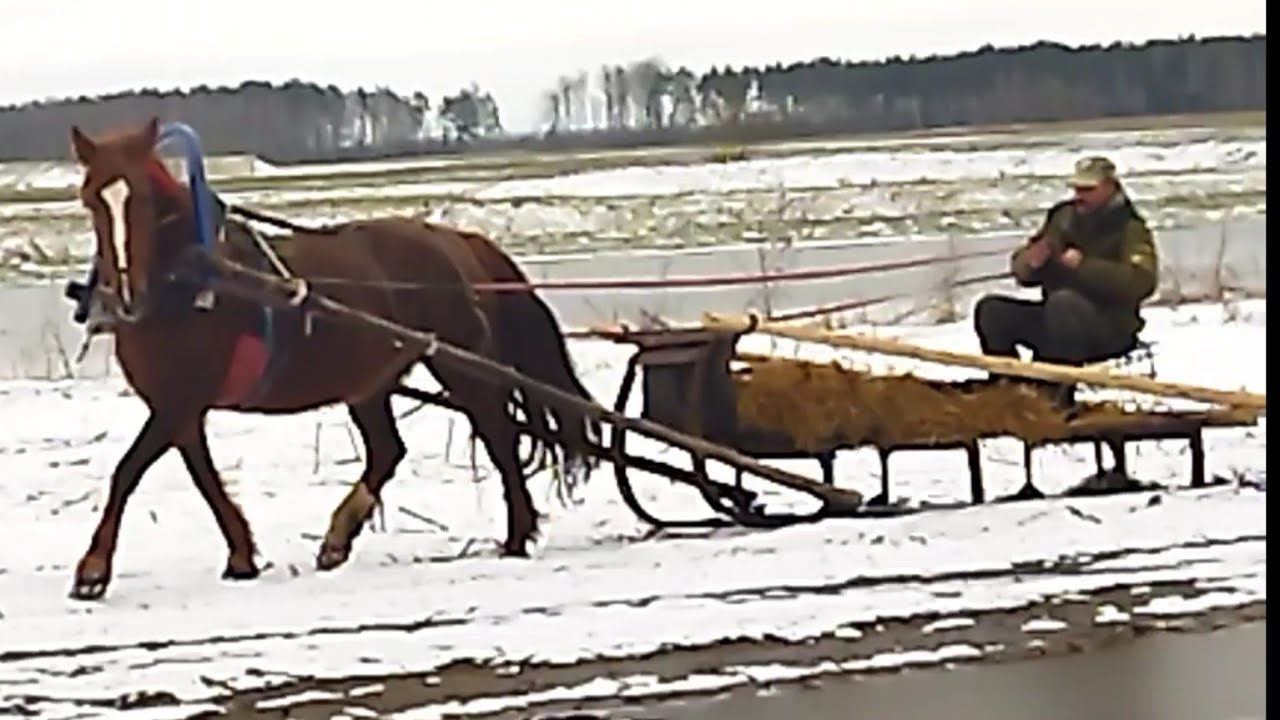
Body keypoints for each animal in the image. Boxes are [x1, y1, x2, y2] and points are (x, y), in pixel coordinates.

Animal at [64, 117, 600, 600]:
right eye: (91, 198)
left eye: (140, 198)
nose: (122, 294)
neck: (194, 279)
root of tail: (455, 240)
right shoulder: (180, 407)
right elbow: (203, 478)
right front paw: (241, 554)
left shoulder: (179, 401)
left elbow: (128, 471)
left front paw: (92, 570)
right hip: (369, 380)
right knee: (388, 450)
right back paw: (339, 538)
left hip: (458, 363)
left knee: (498, 436)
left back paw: (516, 534)